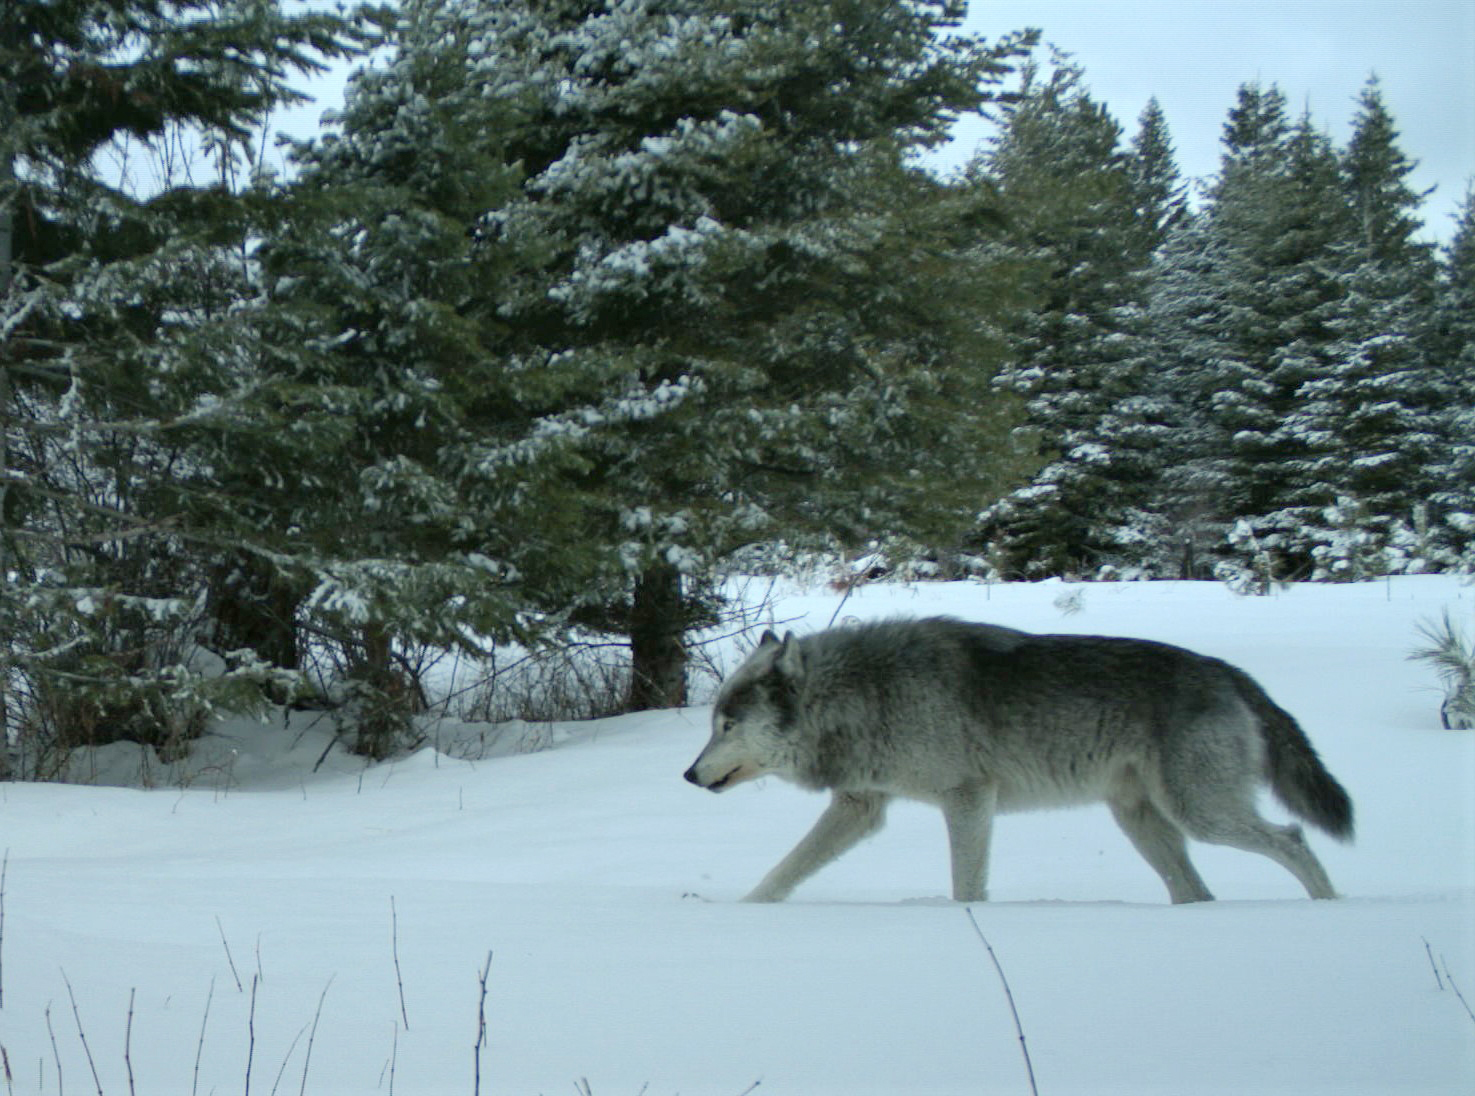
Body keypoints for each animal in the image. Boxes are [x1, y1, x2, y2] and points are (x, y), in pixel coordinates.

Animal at [683, 618, 1354, 903]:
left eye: (726, 726)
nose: (688, 773)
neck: (865, 694)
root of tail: (1229, 673)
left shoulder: (968, 799)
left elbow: (967, 886)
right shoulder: (860, 806)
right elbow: (783, 872)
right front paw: (743, 914)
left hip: (1201, 815)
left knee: (1294, 839)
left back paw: (1331, 910)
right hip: (1143, 821)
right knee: (1196, 892)